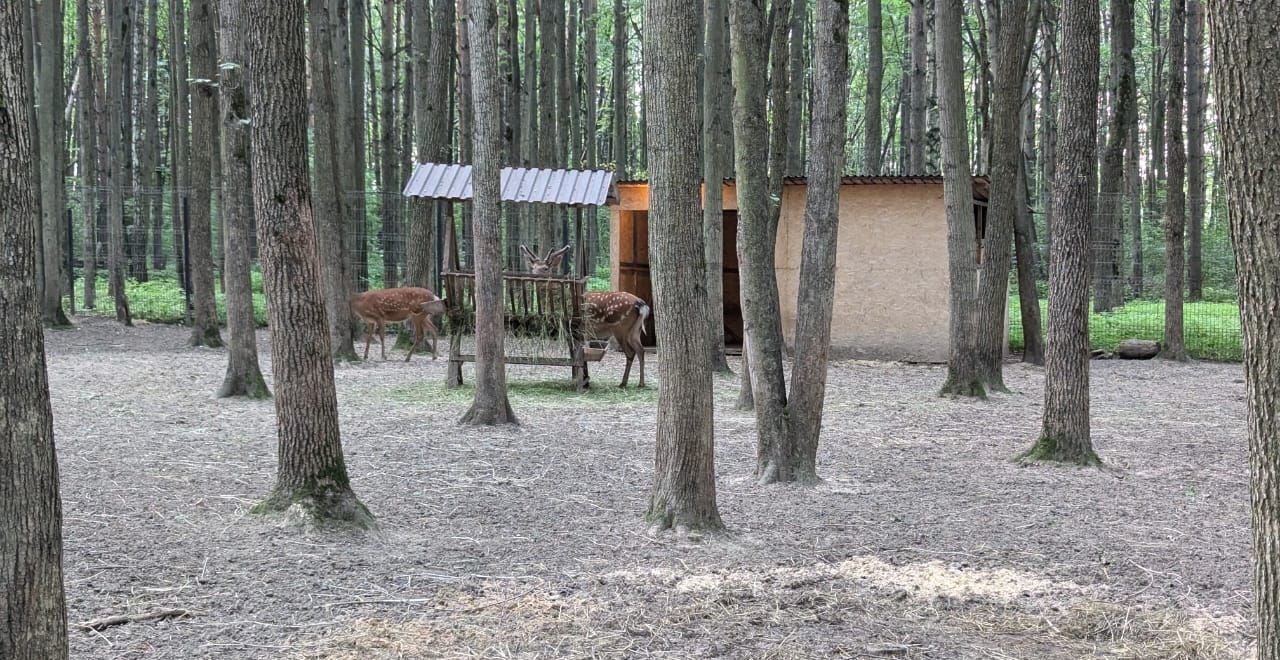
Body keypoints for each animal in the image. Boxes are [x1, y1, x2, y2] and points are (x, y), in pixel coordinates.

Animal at [517, 243, 650, 386]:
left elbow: (575, 355)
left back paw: (623, 383)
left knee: (631, 352)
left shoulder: (572, 327)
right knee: (641, 350)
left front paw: (577, 378)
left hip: (621, 328)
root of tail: (641, 304)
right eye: (533, 268)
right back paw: (640, 383)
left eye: (546, 268)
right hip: (635, 330)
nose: (533, 277)